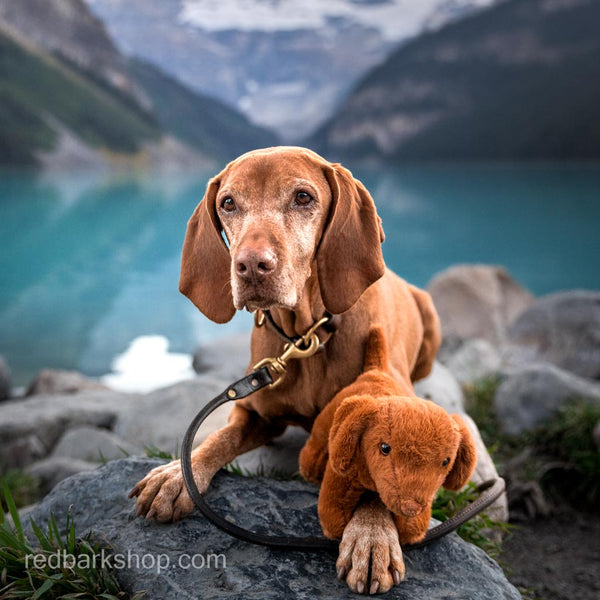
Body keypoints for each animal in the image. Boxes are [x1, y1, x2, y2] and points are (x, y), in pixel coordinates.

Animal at [130, 146, 440, 596]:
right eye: (228, 203)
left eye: (302, 197)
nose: (250, 265)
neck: (306, 334)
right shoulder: (254, 410)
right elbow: (216, 438)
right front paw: (177, 475)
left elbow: (377, 472)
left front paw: (371, 534)